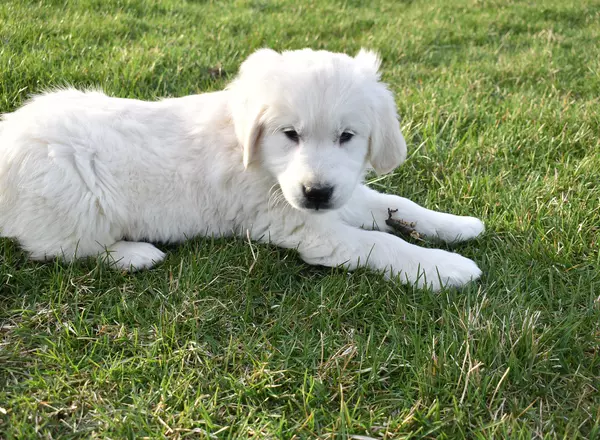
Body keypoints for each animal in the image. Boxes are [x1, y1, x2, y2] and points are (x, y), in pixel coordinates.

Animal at [0, 48, 482, 290]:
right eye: (290, 134)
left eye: (347, 136)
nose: (316, 193)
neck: (262, 162)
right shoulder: (301, 227)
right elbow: (380, 242)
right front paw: (445, 268)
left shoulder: (337, 195)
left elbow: (395, 204)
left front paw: (457, 225)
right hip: (74, 195)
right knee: (60, 249)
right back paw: (134, 254)